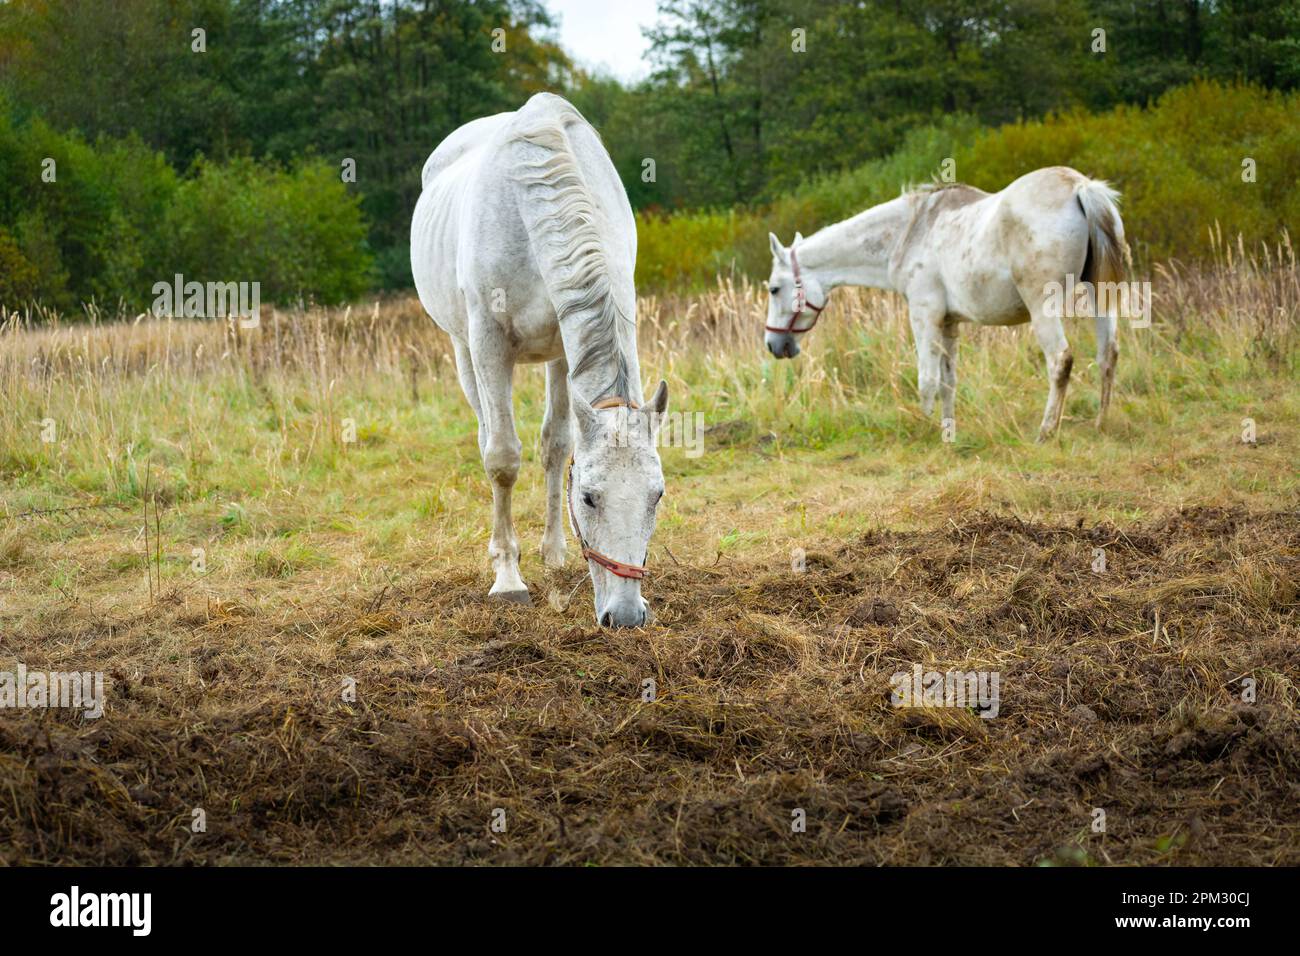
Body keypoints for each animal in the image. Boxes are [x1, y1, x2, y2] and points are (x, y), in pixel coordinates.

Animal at [411, 92, 668, 627]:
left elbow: (558, 446)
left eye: (657, 494)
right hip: (463, 349)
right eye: (589, 497)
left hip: (553, 356)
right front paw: (508, 579)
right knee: (487, 434)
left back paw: (552, 552)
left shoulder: (567, 350)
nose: (626, 615)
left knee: (554, 442)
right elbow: (503, 459)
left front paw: (554, 553)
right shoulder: (488, 344)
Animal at [763, 168, 1129, 441]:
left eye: (774, 289)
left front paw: (925, 428)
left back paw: (1046, 431)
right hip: (1100, 296)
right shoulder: (949, 324)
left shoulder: (924, 317)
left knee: (1060, 361)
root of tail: (1080, 186)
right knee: (1107, 355)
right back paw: (1101, 423)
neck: (910, 232)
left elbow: (926, 379)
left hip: (1043, 309)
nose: (773, 344)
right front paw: (947, 431)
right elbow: (947, 381)